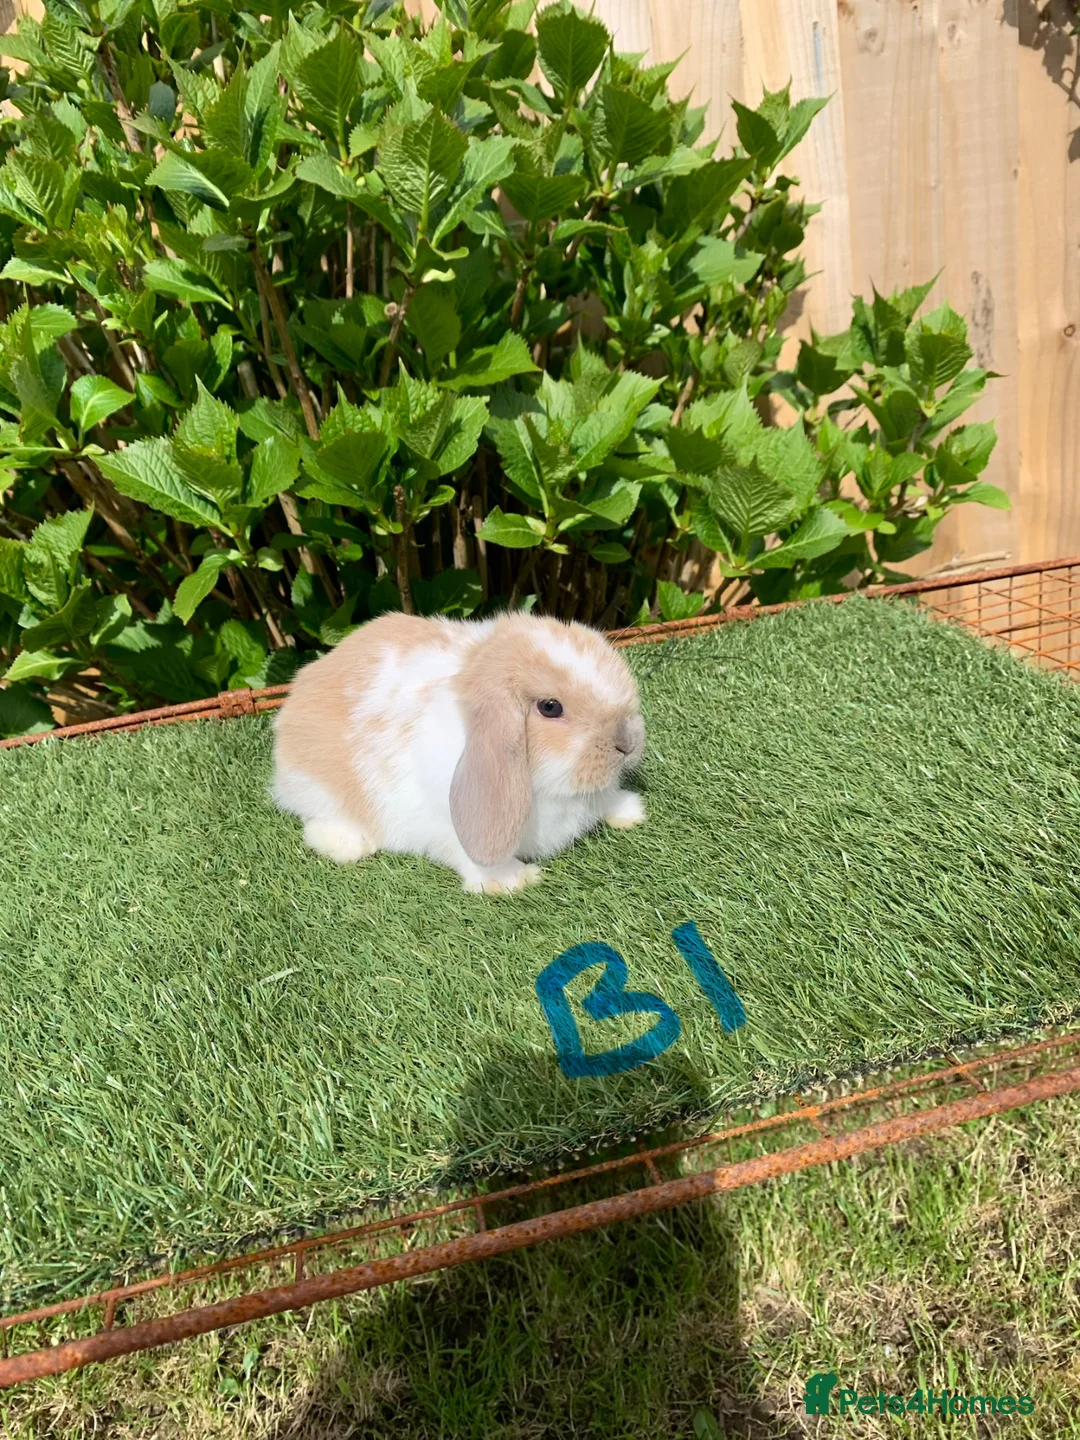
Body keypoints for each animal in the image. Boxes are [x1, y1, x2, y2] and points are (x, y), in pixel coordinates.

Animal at [269, 610, 647, 894]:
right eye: (550, 707)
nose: (627, 742)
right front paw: (516, 880)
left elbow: (608, 798)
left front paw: (631, 811)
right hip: (317, 789)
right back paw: (350, 844)